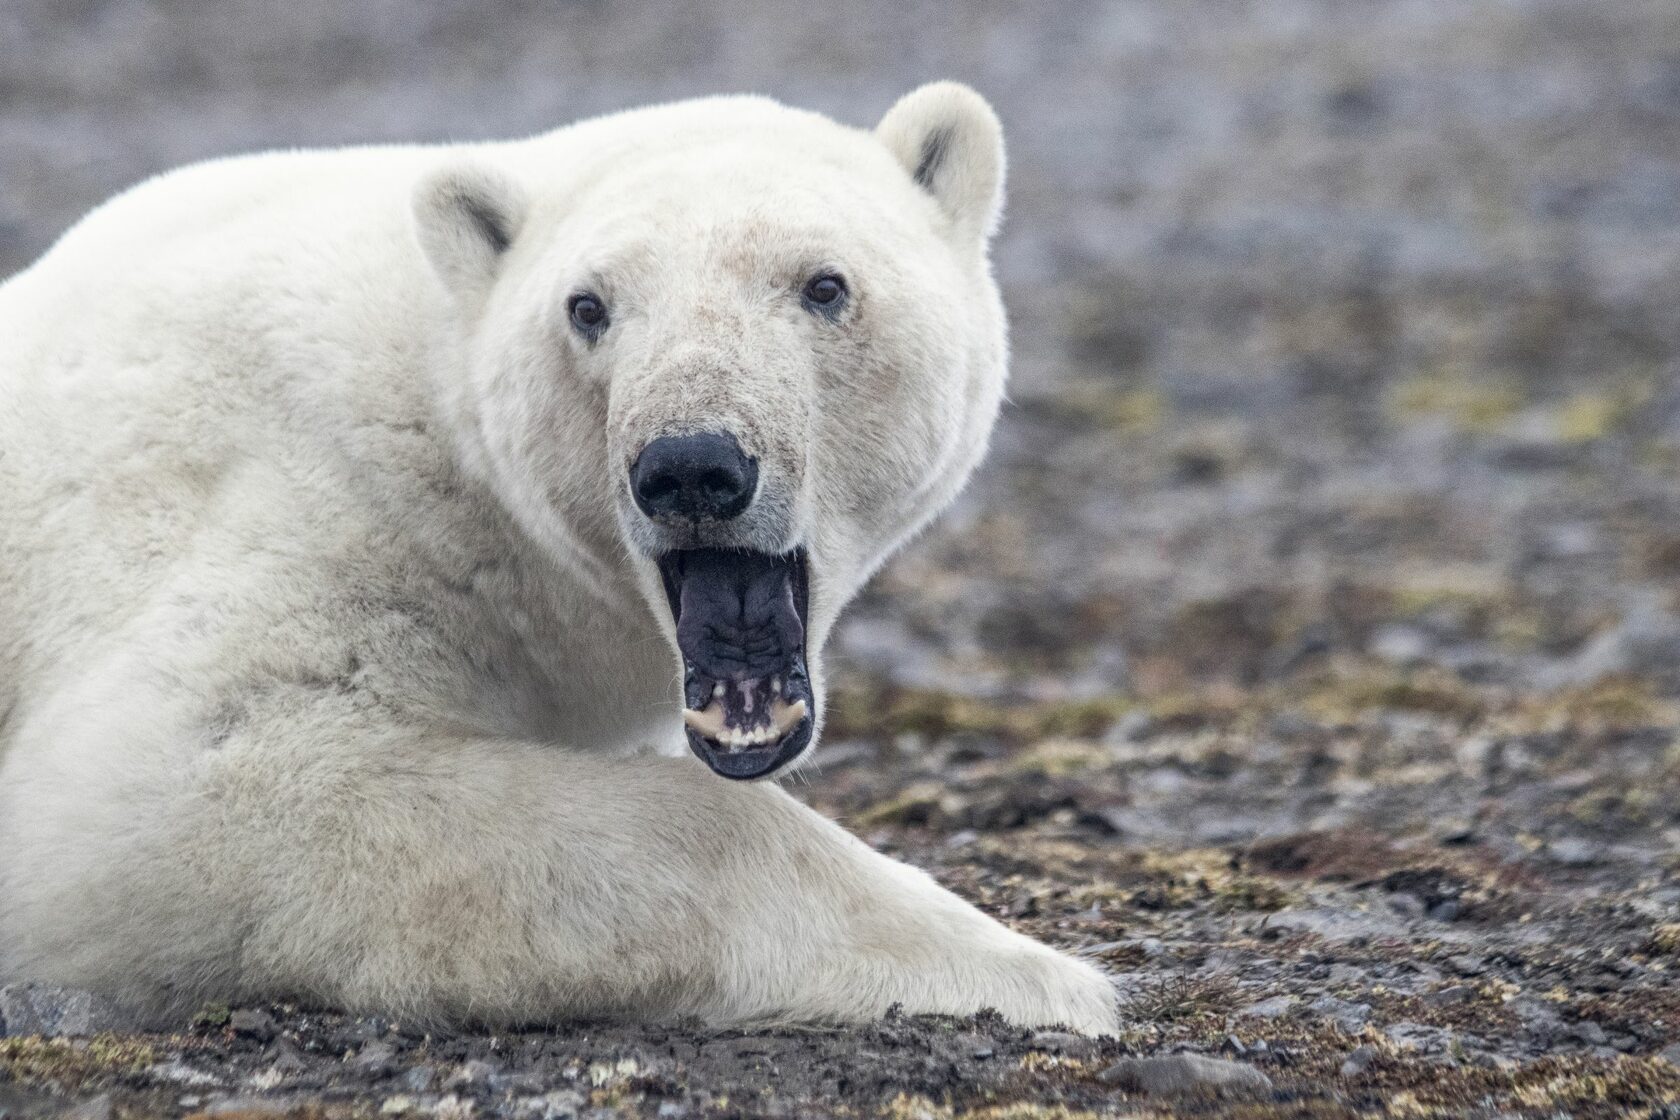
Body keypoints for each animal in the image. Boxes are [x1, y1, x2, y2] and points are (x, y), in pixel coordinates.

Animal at [0, 85, 1115, 1034]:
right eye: (588, 306)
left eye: (826, 285)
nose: (692, 465)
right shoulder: (292, 506)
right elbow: (141, 797)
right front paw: (1037, 973)